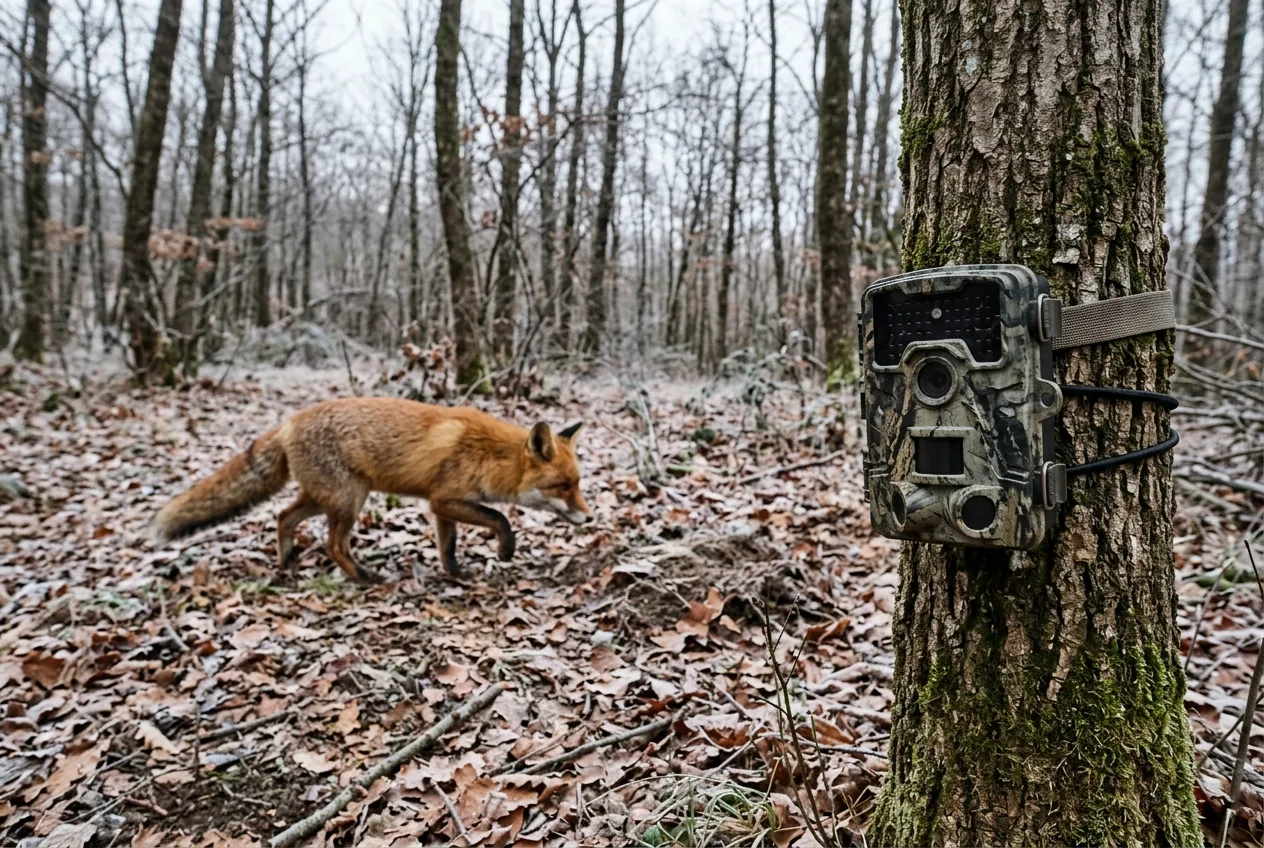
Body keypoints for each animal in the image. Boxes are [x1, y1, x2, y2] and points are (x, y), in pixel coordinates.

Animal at [150, 397, 592, 583]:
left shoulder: (441, 507)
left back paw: (287, 561)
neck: (488, 454)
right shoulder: (445, 499)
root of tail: (290, 420)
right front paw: (505, 550)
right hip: (349, 501)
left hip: (327, 497)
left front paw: (456, 575)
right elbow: (499, 517)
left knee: (283, 516)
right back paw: (364, 577)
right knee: (333, 544)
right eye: (563, 486)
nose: (589, 517)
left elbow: (448, 548)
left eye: (579, 483)